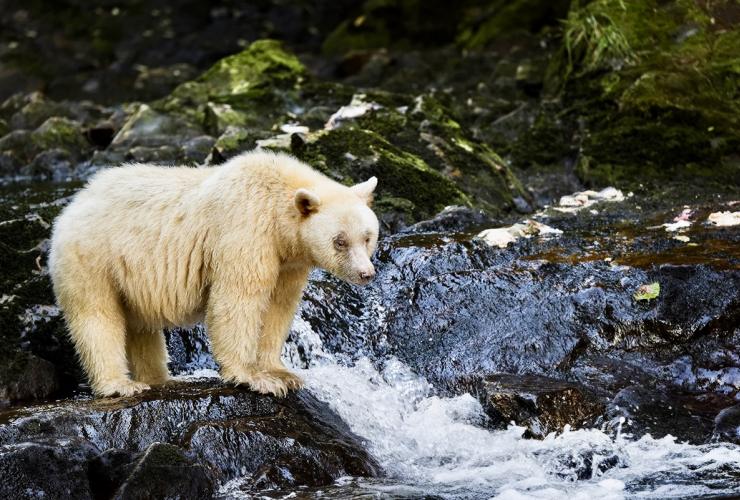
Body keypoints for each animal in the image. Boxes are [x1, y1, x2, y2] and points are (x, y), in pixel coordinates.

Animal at [49, 152, 378, 398]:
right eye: (340, 241)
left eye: (367, 236)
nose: (366, 274)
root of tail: (75, 202)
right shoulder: (246, 226)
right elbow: (238, 299)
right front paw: (255, 378)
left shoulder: (288, 263)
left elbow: (278, 307)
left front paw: (282, 373)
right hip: (92, 257)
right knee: (97, 317)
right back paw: (120, 385)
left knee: (141, 327)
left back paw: (160, 378)